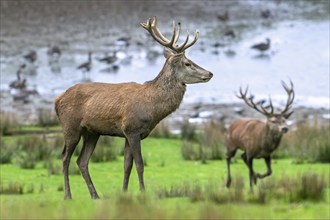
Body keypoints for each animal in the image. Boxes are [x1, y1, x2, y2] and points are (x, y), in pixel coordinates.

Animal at [55, 16, 213, 199]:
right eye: (187, 63)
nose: (210, 73)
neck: (152, 108)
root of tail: (57, 101)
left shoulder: (127, 133)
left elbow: (126, 165)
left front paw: (124, 193)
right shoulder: (132, 129)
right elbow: (139, 164)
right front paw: (143, 192)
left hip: (92, 132)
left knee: (81, 160)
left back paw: (95, 195)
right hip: (70, 126)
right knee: (65, 157)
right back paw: (68, 195)